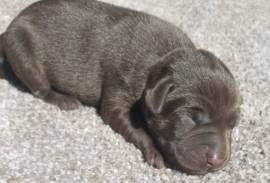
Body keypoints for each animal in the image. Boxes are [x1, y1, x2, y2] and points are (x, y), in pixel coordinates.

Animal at [0, 0, 240, 175]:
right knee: (38, 87)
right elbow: (136, 127)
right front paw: (155, 152)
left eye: (232, 126)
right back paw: (63, 99)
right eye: (192, 119)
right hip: (23, 50)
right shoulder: (120, 92)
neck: (160, 59)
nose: (218, 161)